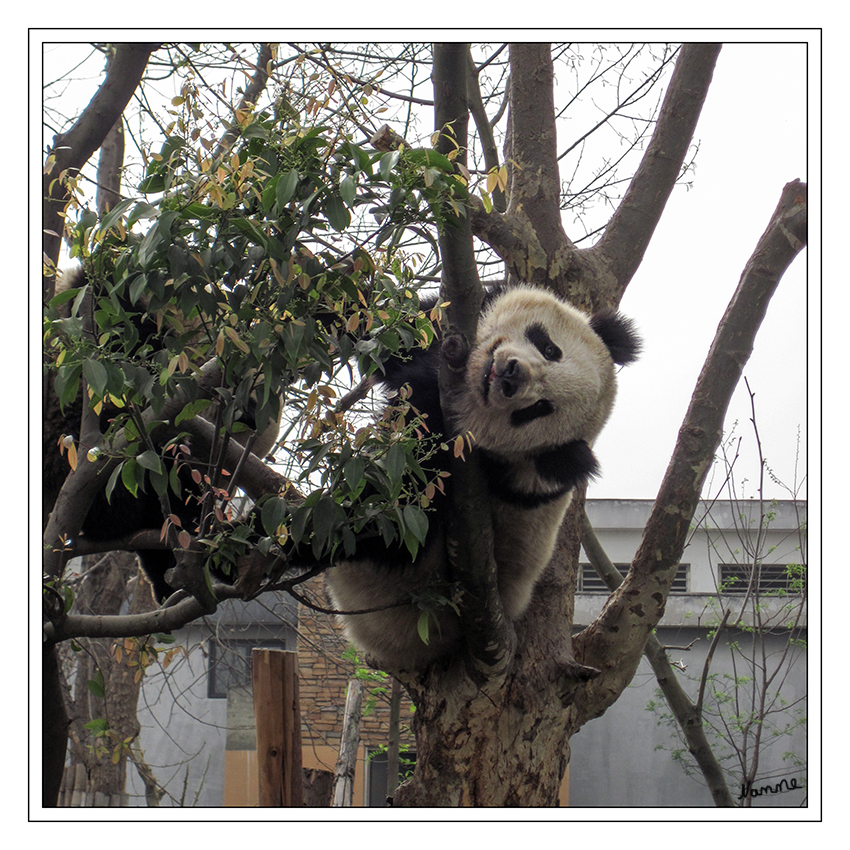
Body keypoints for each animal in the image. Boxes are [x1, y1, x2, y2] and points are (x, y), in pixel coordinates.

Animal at [322, 284, 640, 668]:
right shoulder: (443, 327)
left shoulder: (471, 471)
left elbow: (401, 517)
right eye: (551, 350)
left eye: (539, 409)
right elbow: (385, 325)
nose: (511, 374)